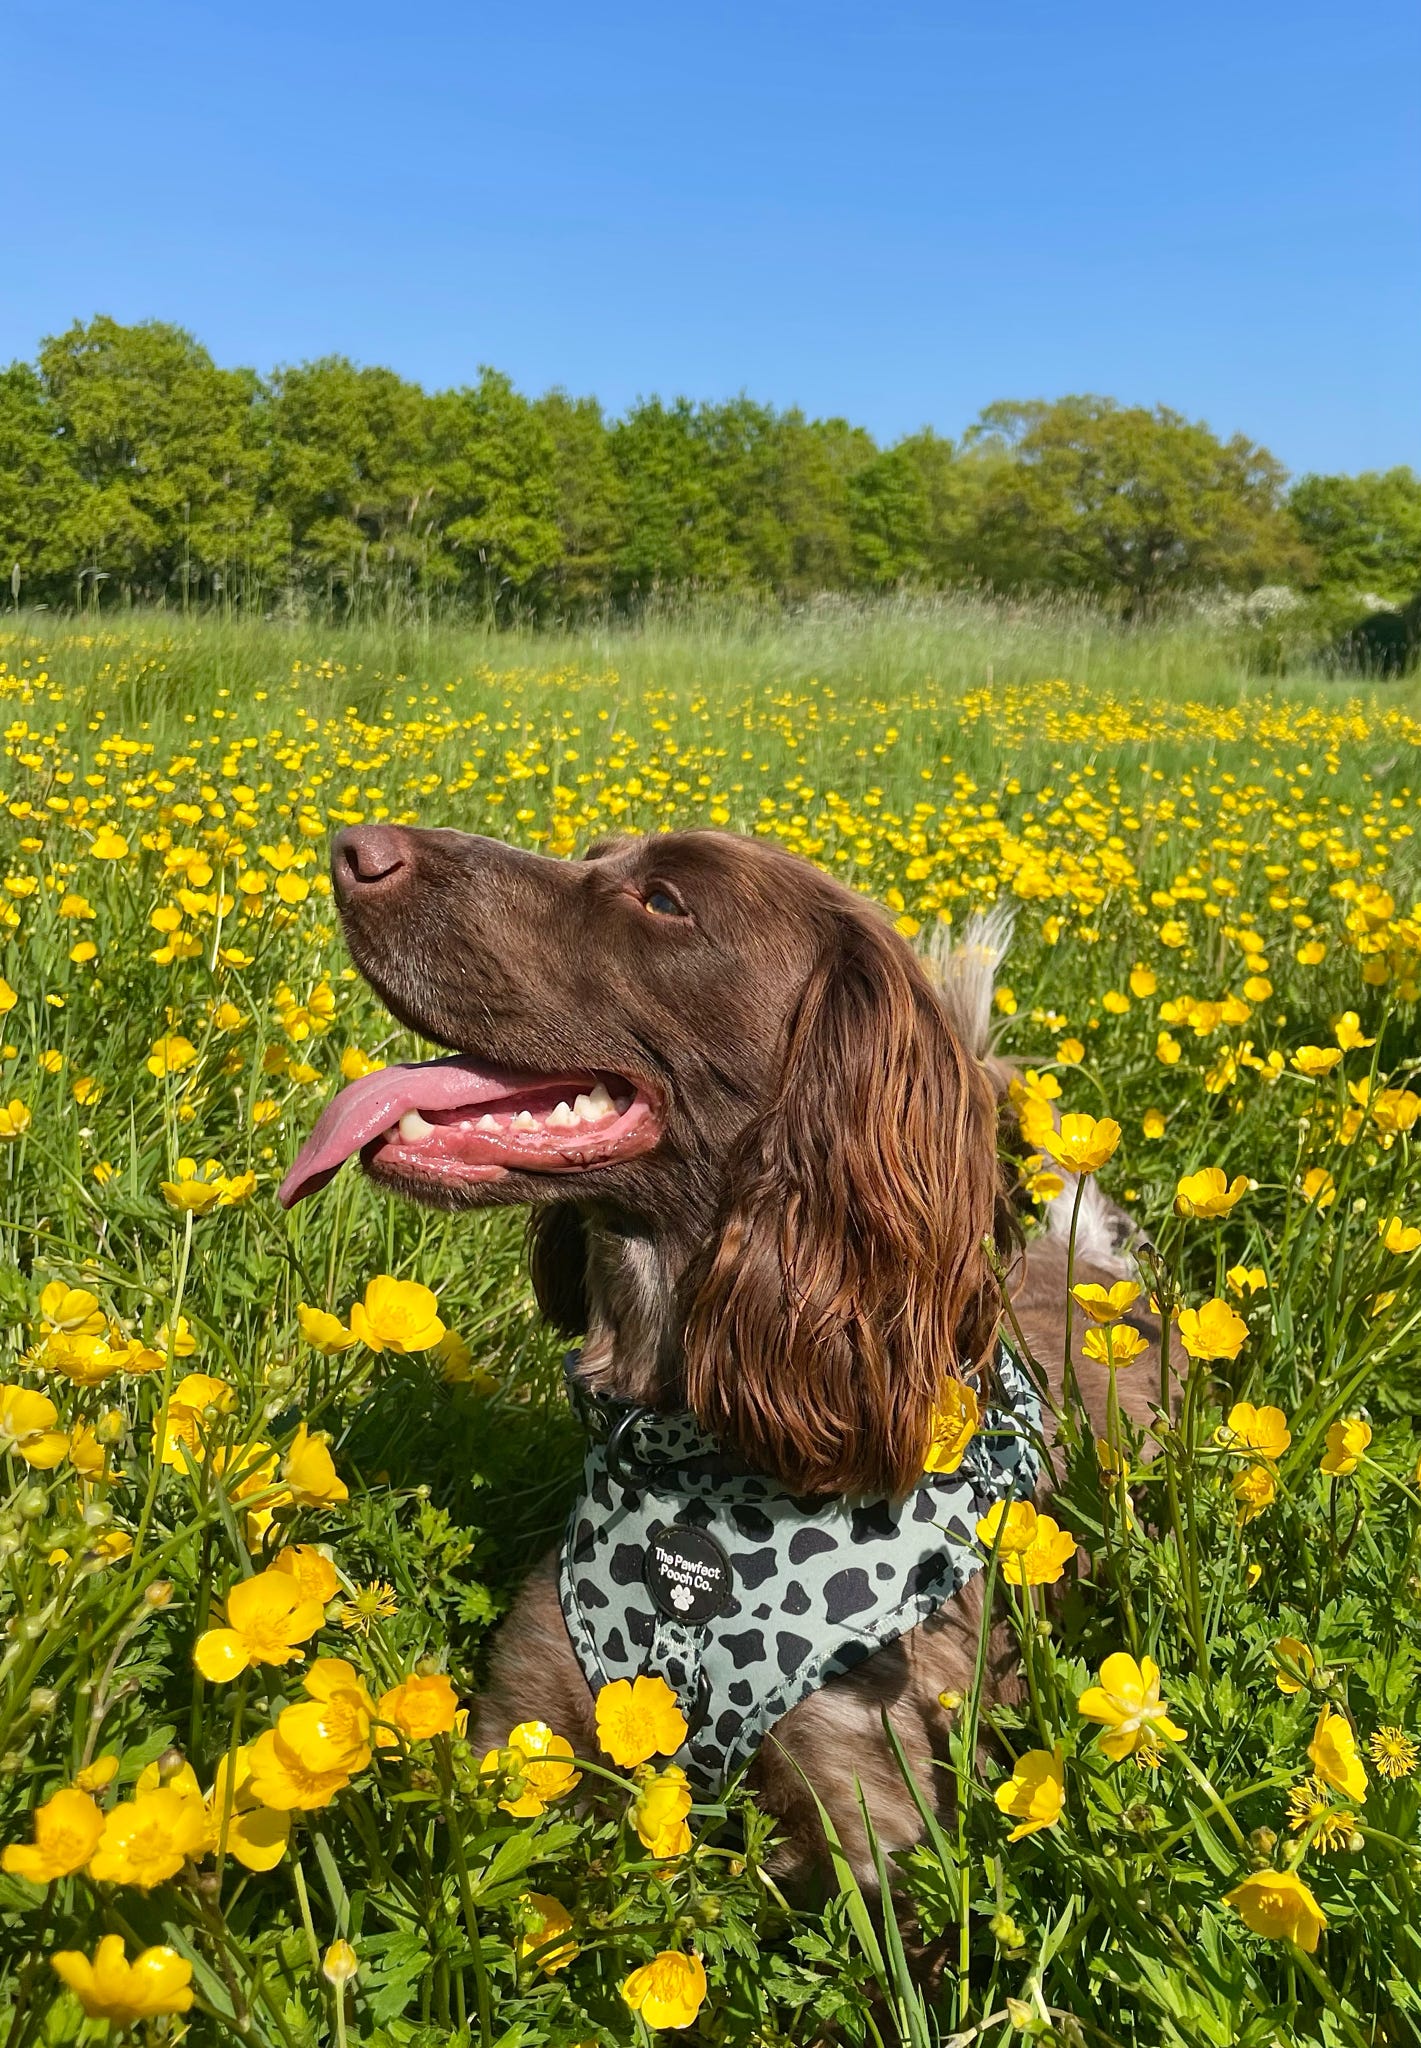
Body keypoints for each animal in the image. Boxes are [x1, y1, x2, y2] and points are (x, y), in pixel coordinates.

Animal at [284, 823, 1163, 1875]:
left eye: (664, 901)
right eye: (594, 852)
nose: (351, 845)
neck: (696, 1462)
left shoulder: (870, 1815)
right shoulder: (527, 1723)